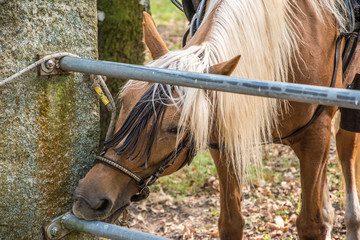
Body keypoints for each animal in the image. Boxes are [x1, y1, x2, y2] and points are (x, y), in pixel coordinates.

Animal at [71, 0, 360, 239]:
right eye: (124, 103)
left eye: (175, 128)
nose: (89, 198)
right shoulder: (223, 141)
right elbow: (231, 223)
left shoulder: (315, 137)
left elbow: (311, 224)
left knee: (346, 153)